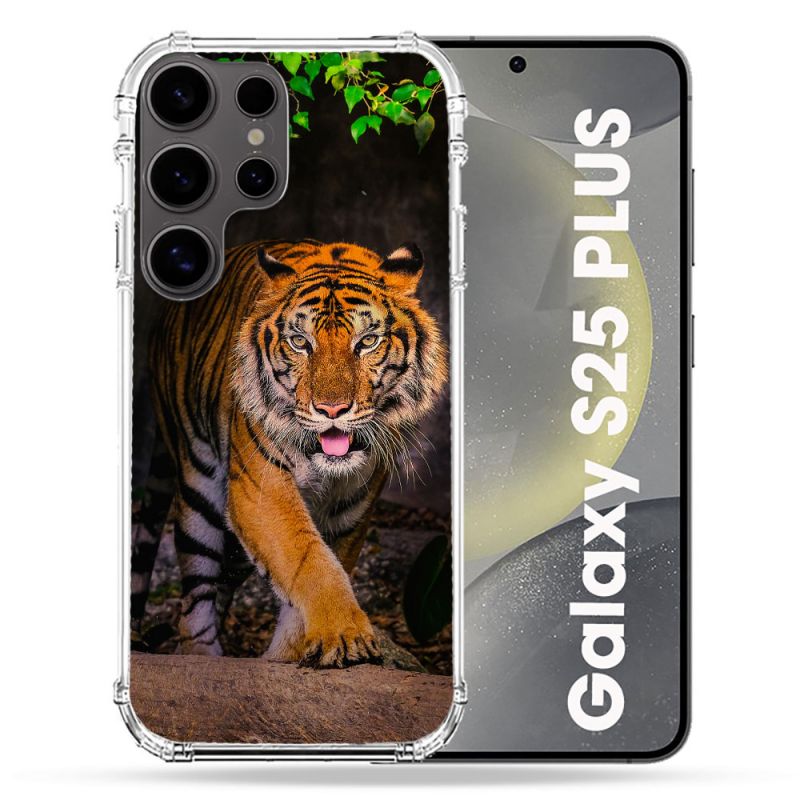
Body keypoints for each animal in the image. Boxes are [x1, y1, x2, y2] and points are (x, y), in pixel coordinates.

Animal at [132, 239, 447, 668]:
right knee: (196, 594)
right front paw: (344, 635)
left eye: (367, 342)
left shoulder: (352, 508)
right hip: (198, 490)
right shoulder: (260, 489)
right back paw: (201, 655)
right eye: (300, 342)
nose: (332, 409)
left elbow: (321, 568)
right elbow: (308, 560)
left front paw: (289, 655)